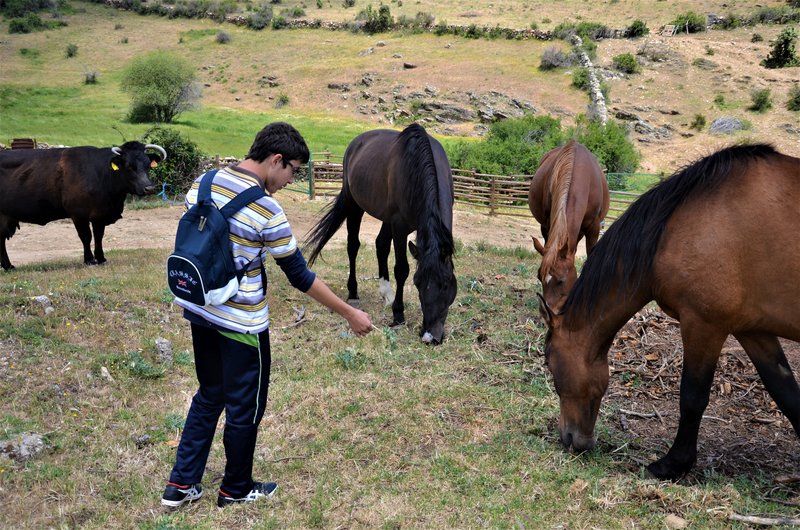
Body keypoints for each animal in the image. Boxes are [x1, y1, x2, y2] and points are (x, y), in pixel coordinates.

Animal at [0, 140, 166, 268]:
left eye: (148, 165)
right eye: (129, 166)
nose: (149, 188)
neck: (101, 174)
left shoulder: (100, 215)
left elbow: (99, 236)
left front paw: (101, 258)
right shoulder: (78, 214)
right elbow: (86, 236)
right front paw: (90, 260)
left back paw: (8, 266)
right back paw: (8, 266)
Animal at [304, 123, 456, 342]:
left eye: (445, 284)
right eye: (418, 284)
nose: (429, 337)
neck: (417, 167)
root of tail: (355, 143)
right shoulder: (399, 226)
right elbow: (401, 269)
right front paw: (398, 315)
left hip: (385, 217)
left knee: (381, 245)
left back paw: (386, 293)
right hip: (354, 205)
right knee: (353, 247)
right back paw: (354, 294)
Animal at [536, 143, 800, 478]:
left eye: (550, 364)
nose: (572, 439)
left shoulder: (703, 325)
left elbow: (692, 396)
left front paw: (673, 464)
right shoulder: (753, 330)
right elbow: (786, 392)